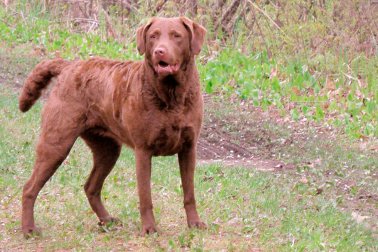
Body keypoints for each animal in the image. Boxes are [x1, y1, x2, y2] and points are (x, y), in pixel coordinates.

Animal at [18, 16, 207, 237]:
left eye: (177, 36)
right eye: (153, 36)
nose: (159, 51)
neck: (172, 96)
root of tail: (68, 66)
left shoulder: (188, 148)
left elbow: (189, 193)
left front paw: (194, 223)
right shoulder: (143, 150)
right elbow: (145, 196)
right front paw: (149, 228)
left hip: (108, 149)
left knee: (90, 186)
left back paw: (106, 220)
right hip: (56, 142)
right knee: (29, 188)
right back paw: (28, 228)